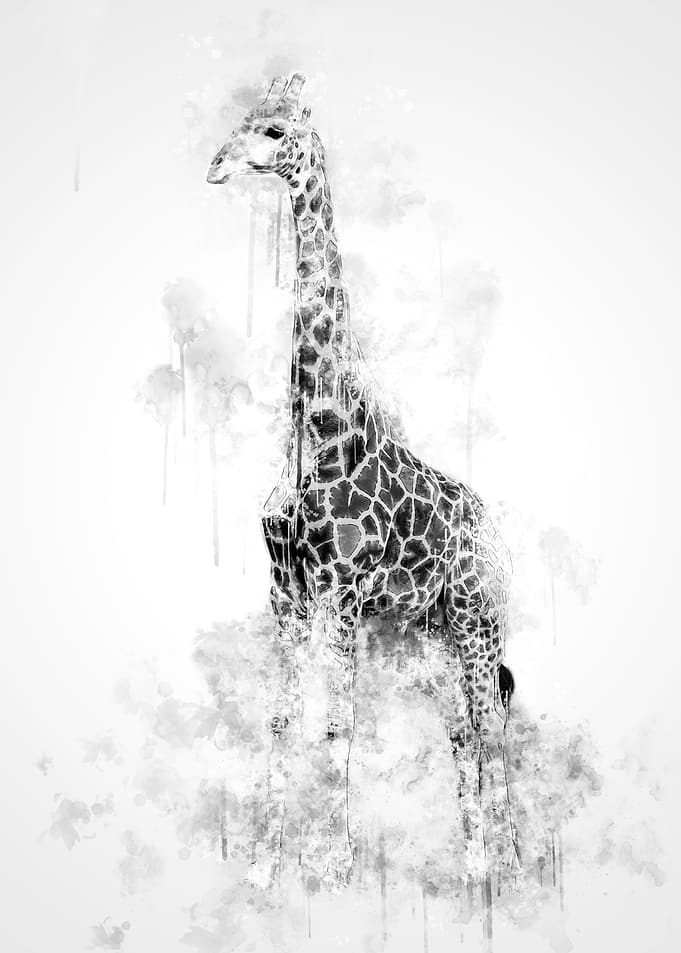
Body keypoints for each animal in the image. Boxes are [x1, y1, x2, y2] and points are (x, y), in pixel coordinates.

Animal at [207, 73, 516, 885]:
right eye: (242, 120)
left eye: (275, 131)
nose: (216, 165)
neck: (320, 432)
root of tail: (496, 533)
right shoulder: (286, 589)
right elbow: (282, 715)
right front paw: (263, 869)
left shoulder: (342, 587)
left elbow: (337, 721)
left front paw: (335, 866)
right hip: (428, 635)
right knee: (460, 732)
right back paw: (472, 867)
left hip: (477, 621)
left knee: (491, 724)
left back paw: (511, 868)